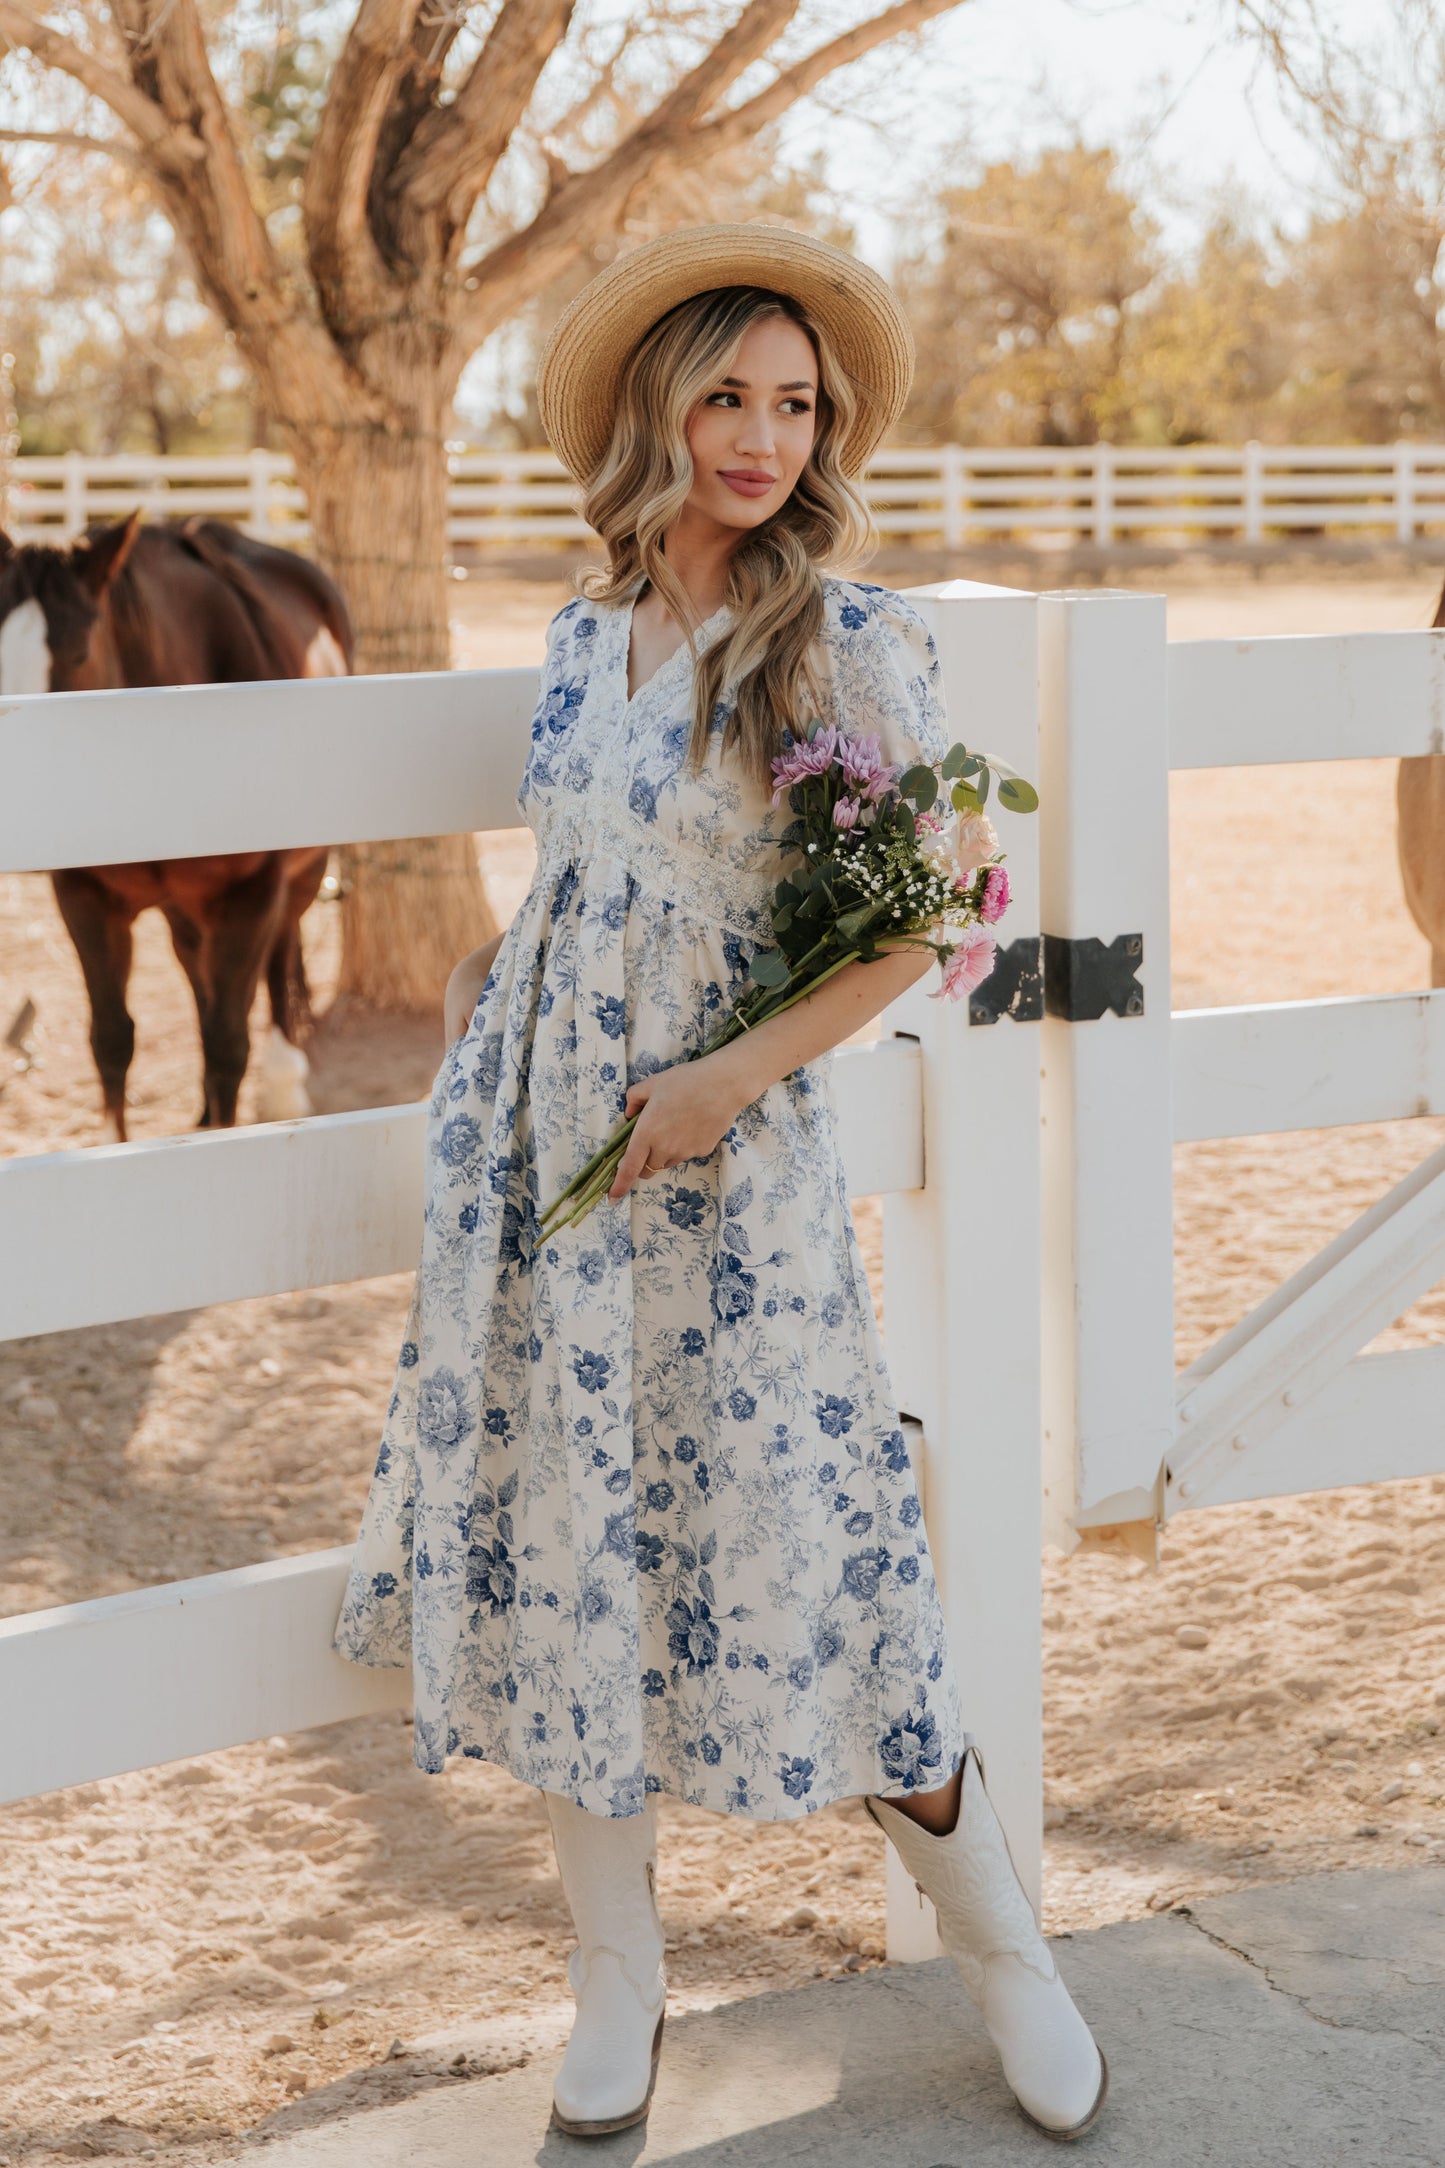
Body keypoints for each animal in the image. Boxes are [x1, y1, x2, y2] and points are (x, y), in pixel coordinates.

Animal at [0, 518, 350, 1144]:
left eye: (77, 653)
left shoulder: (251, 897)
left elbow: (228, 1043)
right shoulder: (86, 897)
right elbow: (112, 1040)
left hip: (300, 876)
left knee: (279, 963)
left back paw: (283, 1086)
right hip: (185, 909)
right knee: (200, 979)